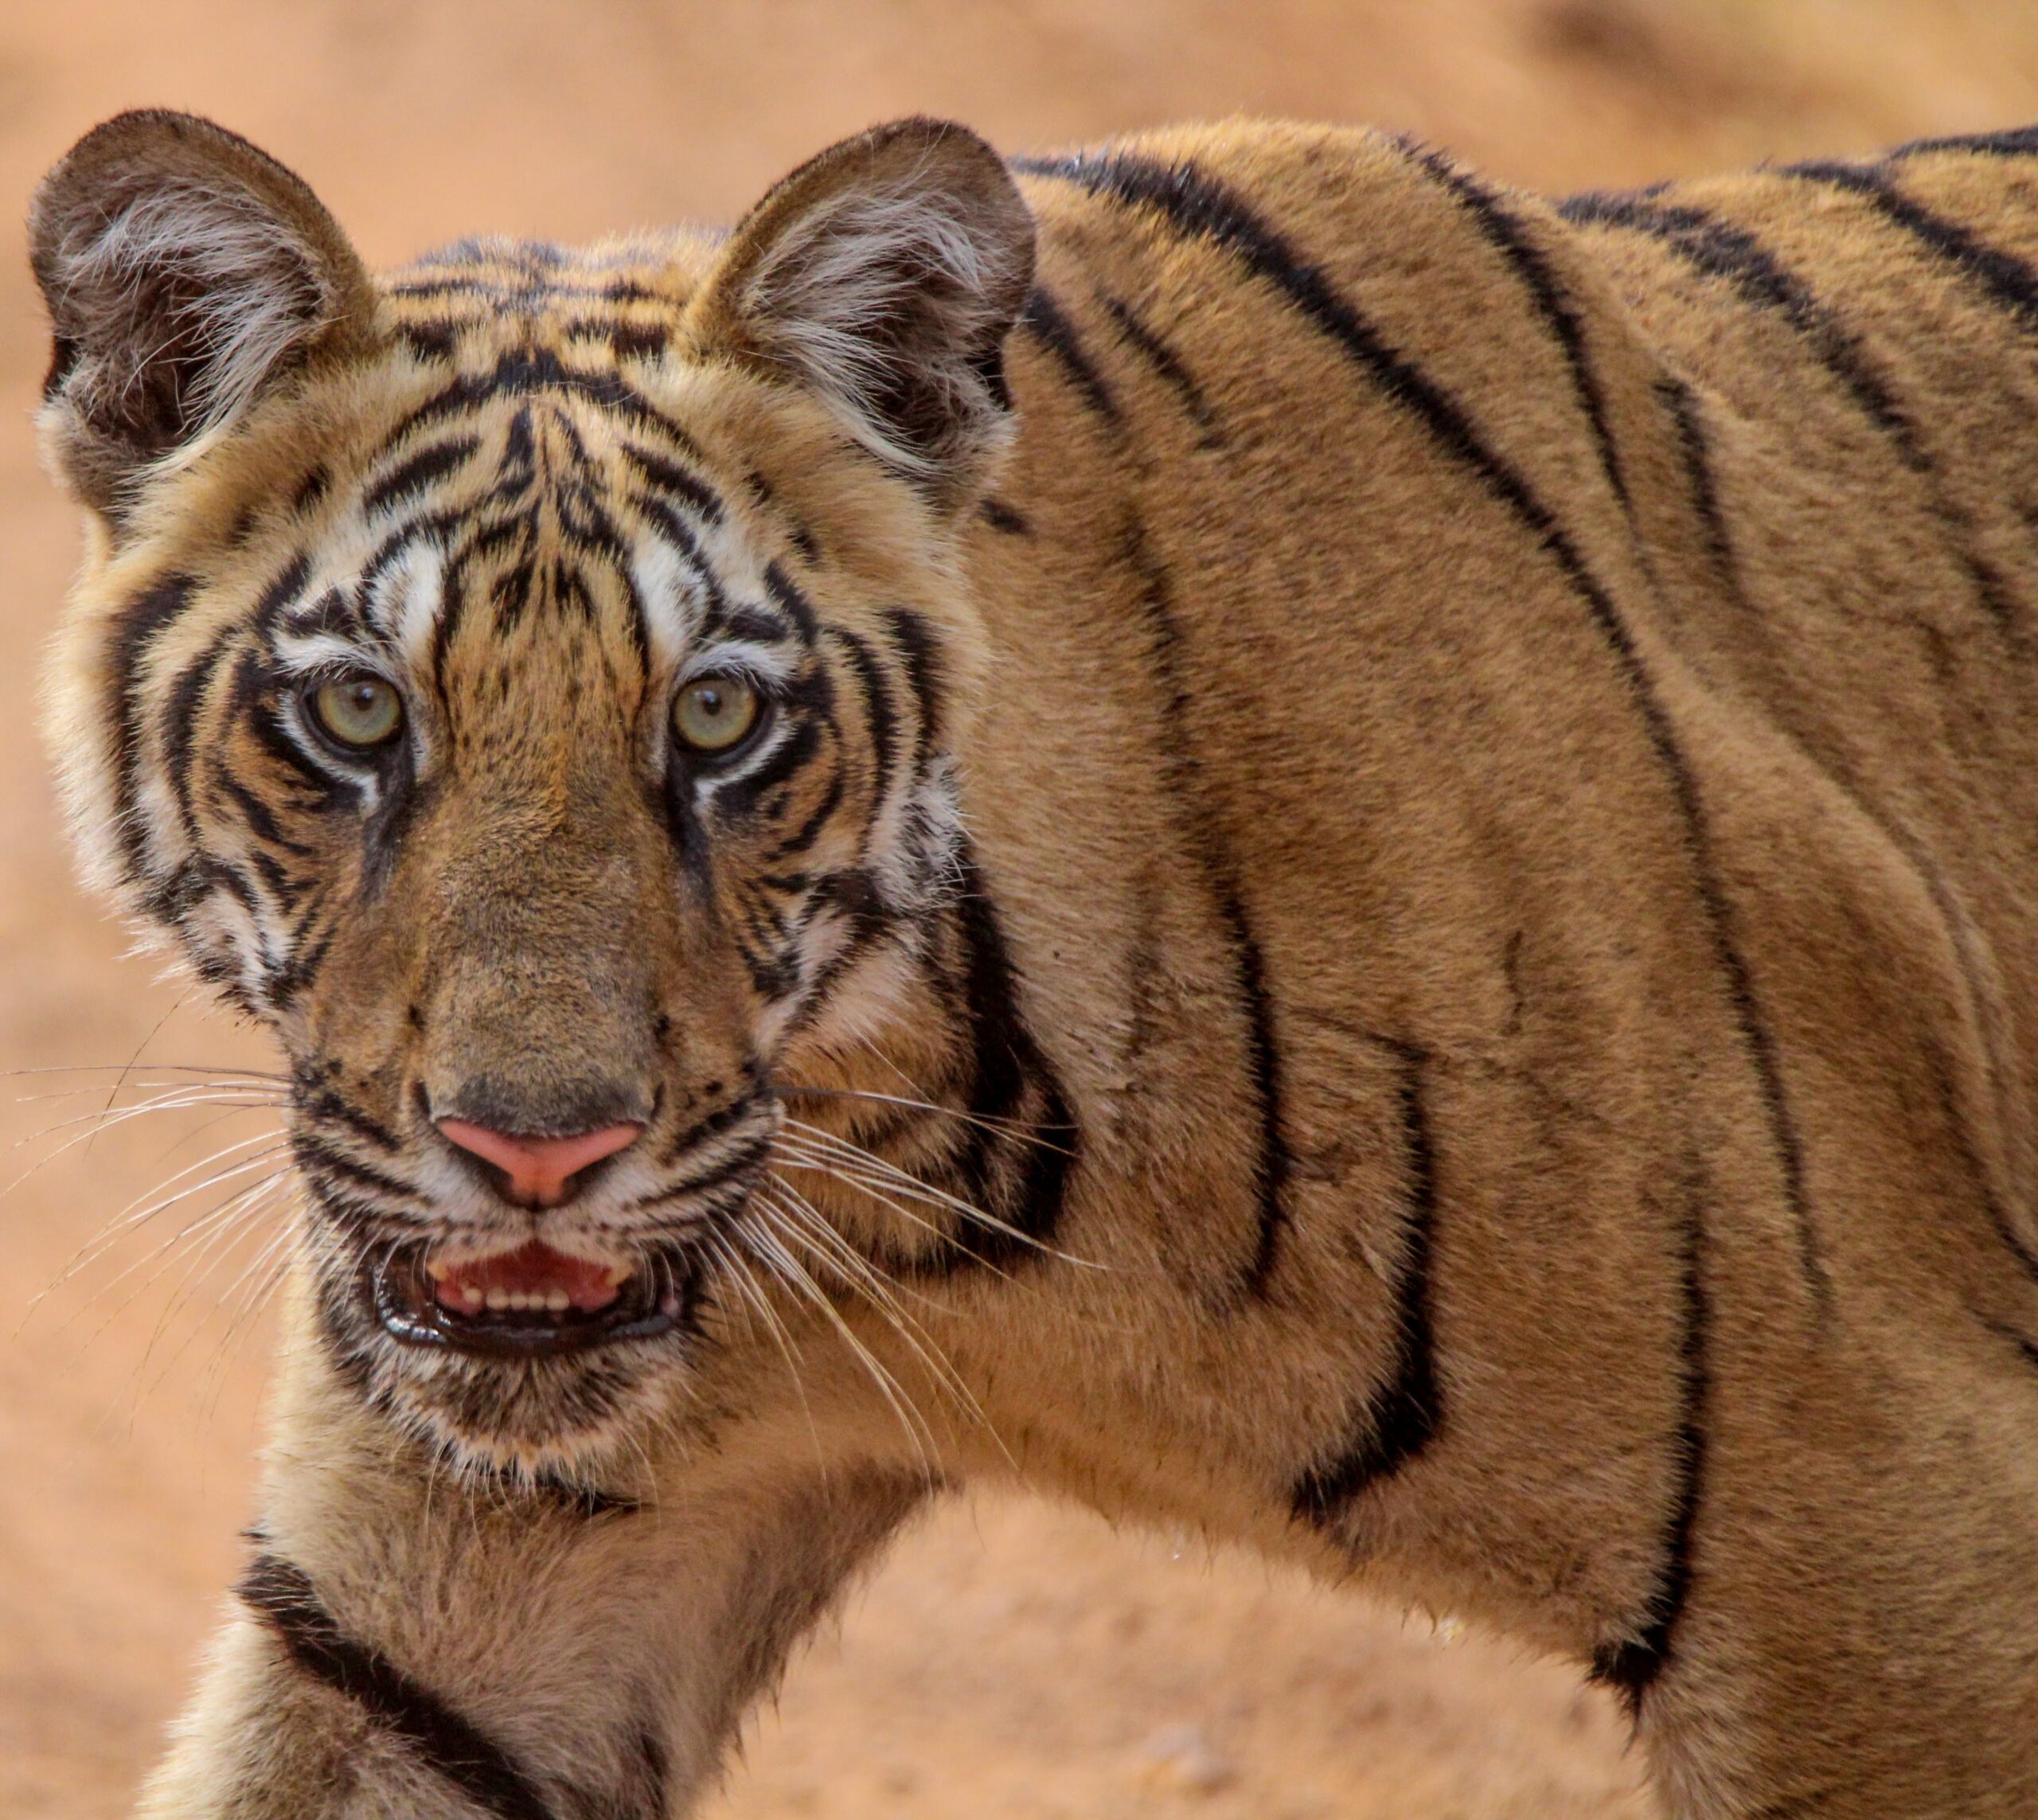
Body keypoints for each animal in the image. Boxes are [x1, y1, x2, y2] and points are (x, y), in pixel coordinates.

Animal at [28, 101, 2038, 1818]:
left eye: (717, 716)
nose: (539, 1152)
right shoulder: (438, 1607)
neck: (926, 1186)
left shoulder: (1884, 1540)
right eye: (359, 711)